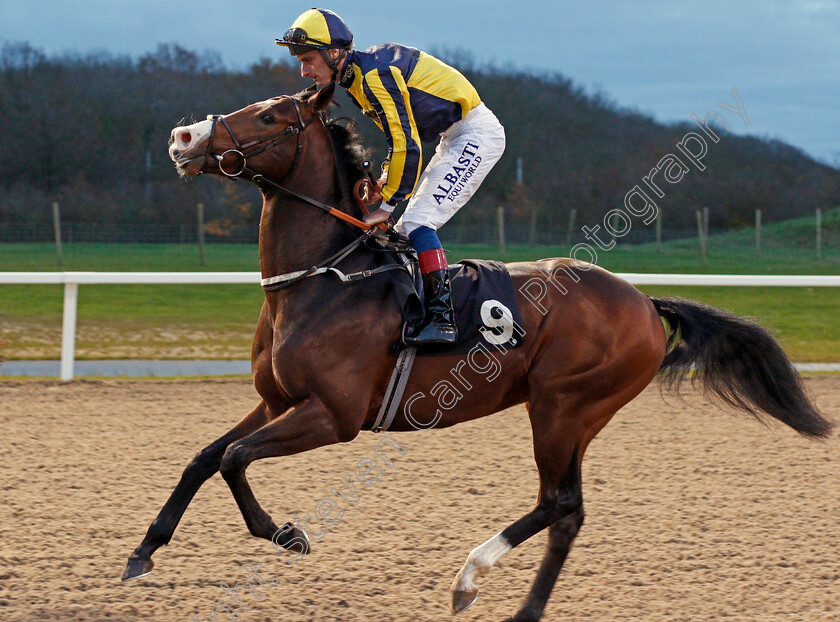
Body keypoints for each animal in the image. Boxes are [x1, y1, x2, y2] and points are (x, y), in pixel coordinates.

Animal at [120, 84, 832, 622]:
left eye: (270, 115)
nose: (183, 138)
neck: (326, 280)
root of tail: (644, 301)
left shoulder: (333, 416)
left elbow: (235, 459)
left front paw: (287, 534)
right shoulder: (278, 400)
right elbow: (205, 457)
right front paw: (142, 552)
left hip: (564, 406)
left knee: (562, 505)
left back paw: (490, 589)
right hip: (571, 413)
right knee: (563, 508)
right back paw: (489, 590)